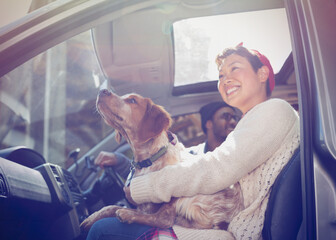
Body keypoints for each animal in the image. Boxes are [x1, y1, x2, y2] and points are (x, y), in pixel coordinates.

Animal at [81, 89, 244, 232]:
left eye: (132, 100)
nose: (102, 91)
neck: (149, 160)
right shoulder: (142, 205)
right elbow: (110, 207)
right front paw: (91, 218)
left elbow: (156, 216)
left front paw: (125, 213)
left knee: (164, 219)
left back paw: (128, 215)